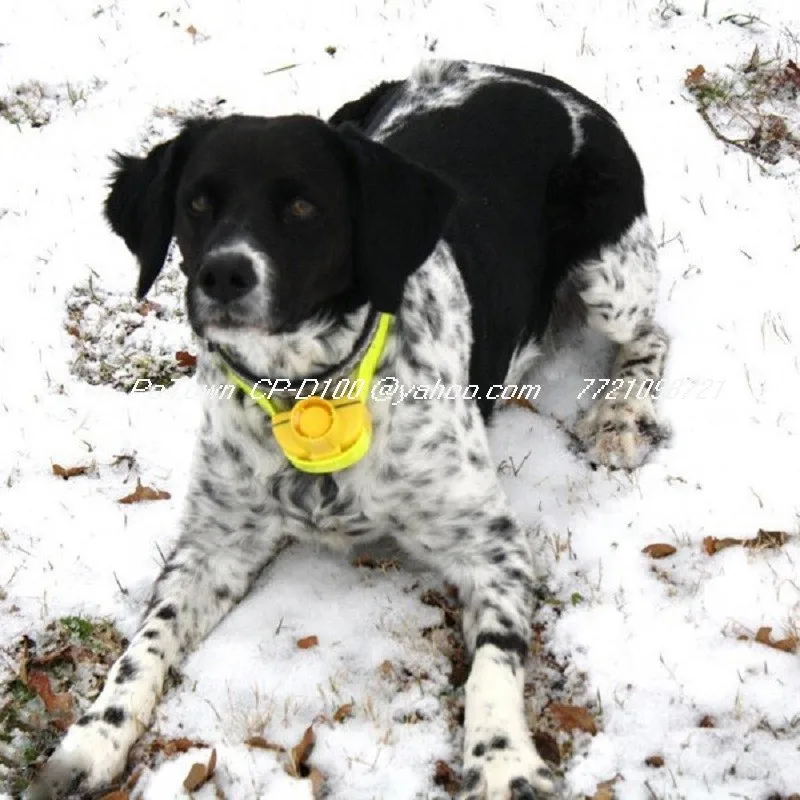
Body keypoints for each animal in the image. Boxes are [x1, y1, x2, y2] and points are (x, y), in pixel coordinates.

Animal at [26, 59, 668, 796]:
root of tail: (532, 77)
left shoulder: (493, 547)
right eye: (197, 203)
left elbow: (494, 663)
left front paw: (502, 758)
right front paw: (91, 740)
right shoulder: (214, 543)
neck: (306, 392)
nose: (223, 274)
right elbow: (144, 645)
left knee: (652, 335)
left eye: (304, 207)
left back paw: (622, 415)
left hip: (613, 278)